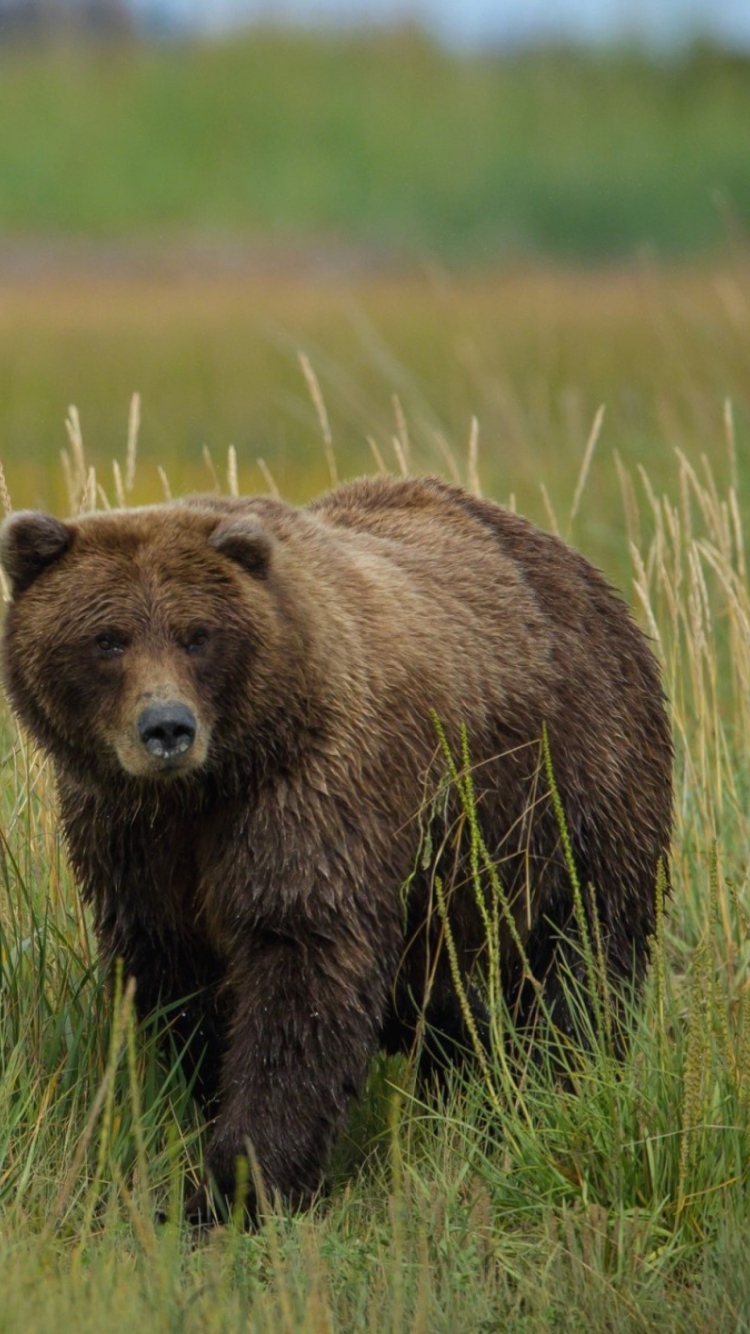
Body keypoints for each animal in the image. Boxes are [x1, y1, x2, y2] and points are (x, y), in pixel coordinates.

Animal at [0, 477, 672, 1221]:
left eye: (197, 635)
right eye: (108, 639)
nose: (167, 728)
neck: (208, 787)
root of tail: (586, 574)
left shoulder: (313, 795)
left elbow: (302, 971)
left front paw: (239, 1185)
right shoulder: (130, 837)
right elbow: (178, 977)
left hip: (567, 788)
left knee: (581, 957)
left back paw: (553, 1088)